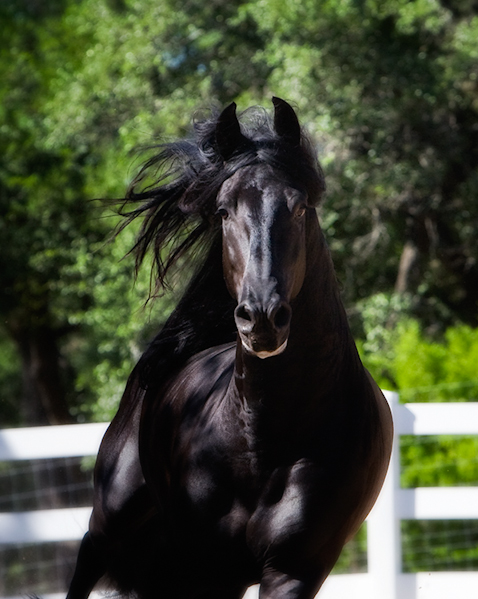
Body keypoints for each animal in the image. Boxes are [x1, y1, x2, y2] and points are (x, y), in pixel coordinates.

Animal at [66, 98, 392, 599]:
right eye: (222, 211)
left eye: (300, 207)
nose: (261, 318)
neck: (265, 440)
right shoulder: (209, 567)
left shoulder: (292, 570)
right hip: (110, 524)